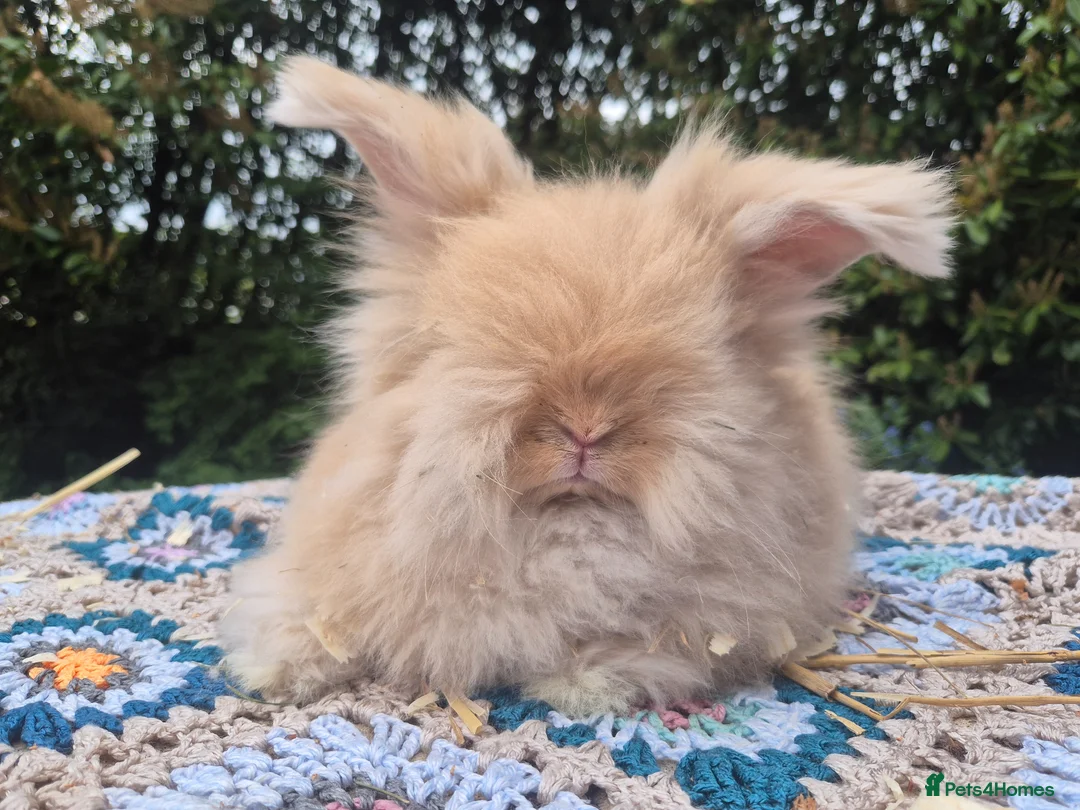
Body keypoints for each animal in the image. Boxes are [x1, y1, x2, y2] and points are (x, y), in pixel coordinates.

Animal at [220, 56, 953, 716]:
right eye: (456, 345)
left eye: (700, 357)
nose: (584, 429)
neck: (564, 539)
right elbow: (309, 617)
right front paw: (275, 673)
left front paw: (581, 685)